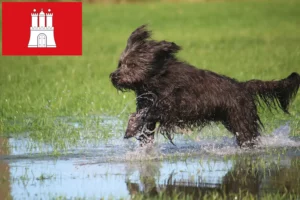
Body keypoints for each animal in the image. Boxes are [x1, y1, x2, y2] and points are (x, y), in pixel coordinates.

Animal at [110, 24, 300, 147]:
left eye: (131, 64)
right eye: (120, 63)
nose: (113, 76)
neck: (158, 76)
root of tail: (243, 86)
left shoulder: (173, 106)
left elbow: (148, 113)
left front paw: (131, 127)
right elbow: (146, 120)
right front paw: (140, 138)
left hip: (241, 119)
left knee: (249, 136)